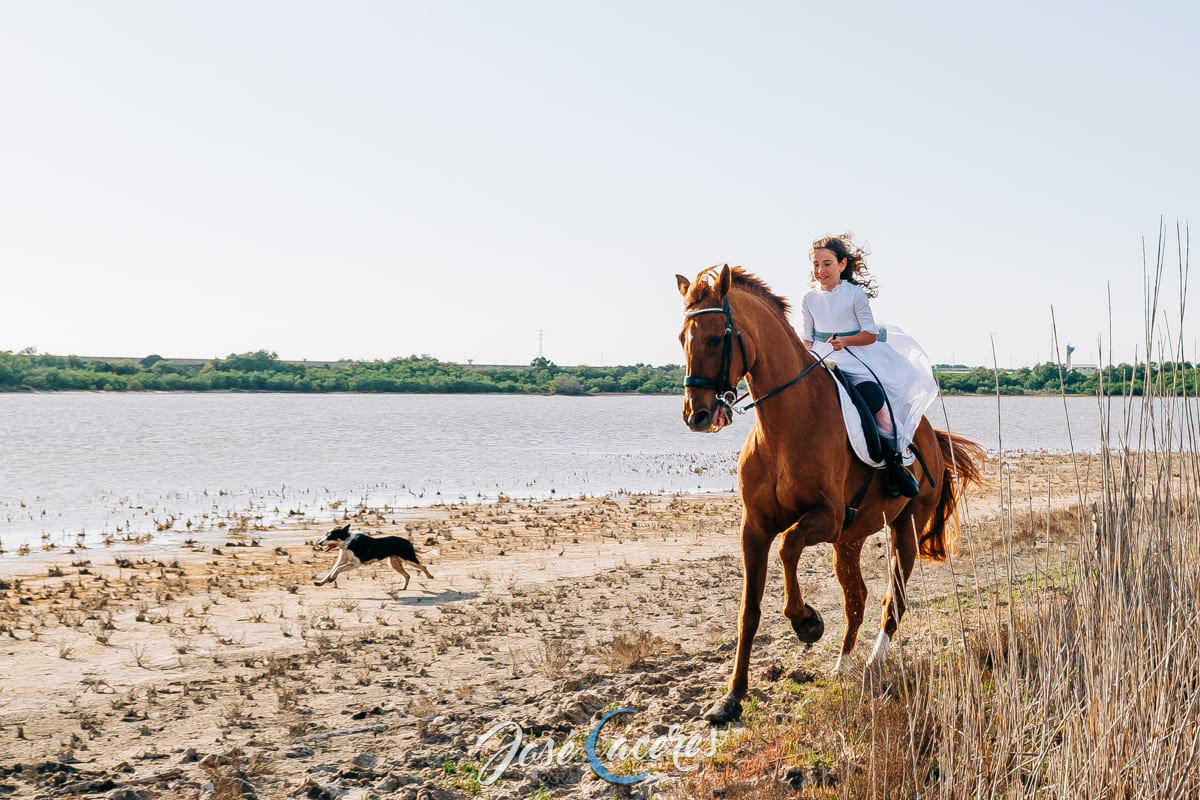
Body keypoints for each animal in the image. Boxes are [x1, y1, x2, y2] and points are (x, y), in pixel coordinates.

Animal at [681, 263, 979, 724]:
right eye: (682, 337)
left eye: (715, 338)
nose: (696, 415)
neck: (785, 424)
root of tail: (931, 433)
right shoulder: (755, 527)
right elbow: (749, 610)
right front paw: (731, 698)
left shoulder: (826, 515)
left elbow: (788, 547)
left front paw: (806, 622)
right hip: (850, 539)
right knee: (857, 599)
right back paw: (842, 665)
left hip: (903, 528)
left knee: (894, 599)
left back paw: (873, 663)